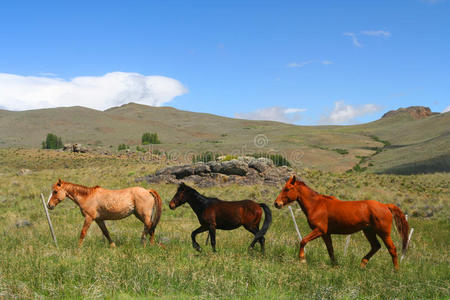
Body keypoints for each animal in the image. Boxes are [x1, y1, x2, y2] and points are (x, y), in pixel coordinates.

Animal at [272, 175, 410, 270]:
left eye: (287, 189)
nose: (276, 203)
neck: (317, 205)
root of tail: (385, 206)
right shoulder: (325, 234)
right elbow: (330, 250)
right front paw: (335, 266)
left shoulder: (319, 230)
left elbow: (303, 241)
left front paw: (302, 259)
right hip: (368, 231)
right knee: (376, 246)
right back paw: (362, 264)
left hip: (383, 233)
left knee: (392, 249)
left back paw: (395, 271)